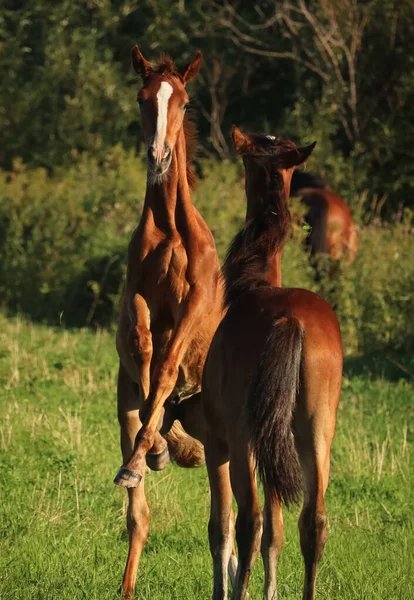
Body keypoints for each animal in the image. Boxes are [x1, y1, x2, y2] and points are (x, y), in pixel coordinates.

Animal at [201, 129, 342, 596]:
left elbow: (223, 527)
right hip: (316, 432)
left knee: (249, 520)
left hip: (244, 439)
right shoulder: (276, 446)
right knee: (313, 521)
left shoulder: (217, 444)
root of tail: (291, 319)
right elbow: (277, 535)